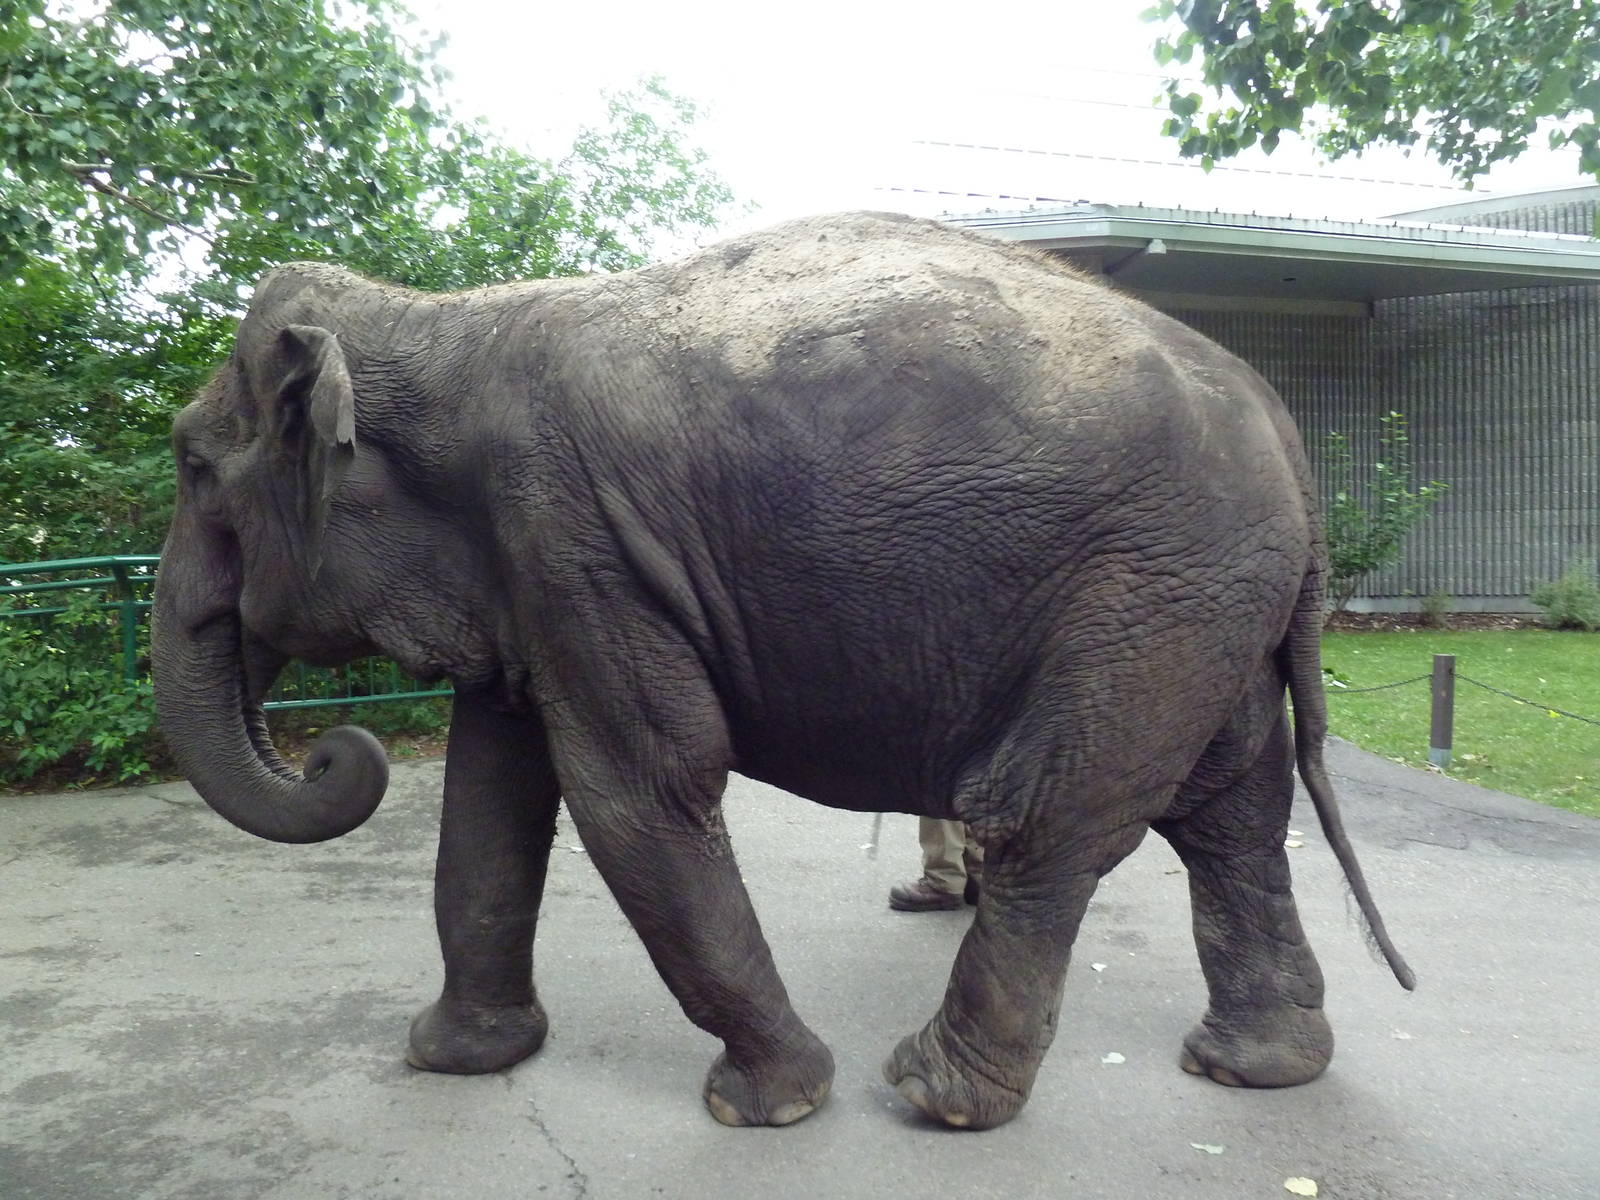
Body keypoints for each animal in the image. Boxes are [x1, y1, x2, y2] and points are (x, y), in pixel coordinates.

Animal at [151, 210, 1413, 1132]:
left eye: (191, 465)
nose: (334, 753)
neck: (436, 329)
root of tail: (1288, 440)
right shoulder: (530, 577)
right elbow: (493, 798)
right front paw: (459, 1059)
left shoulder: (575, 550)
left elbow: (642, 793)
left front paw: (773, 1105)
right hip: (1206, 608)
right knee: (1231, 814)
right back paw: (1252, 1067)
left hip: (1148, 595)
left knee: (1051, 819)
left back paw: (934, 1097)